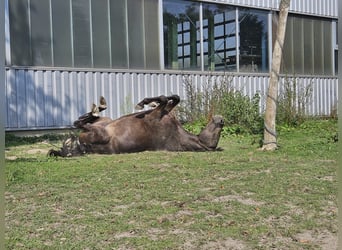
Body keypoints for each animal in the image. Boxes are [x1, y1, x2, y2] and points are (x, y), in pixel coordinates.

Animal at [48, 94, 224, 156]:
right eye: (218, 131)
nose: (221, 120)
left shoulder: (158, 114)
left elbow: (166, 99)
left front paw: (143, 103)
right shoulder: (164, 111)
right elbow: (172, 98)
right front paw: (147, 103)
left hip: (102, 129)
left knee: (80, 122)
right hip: (105, 121)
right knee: (83, 119)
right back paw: (98, 108)